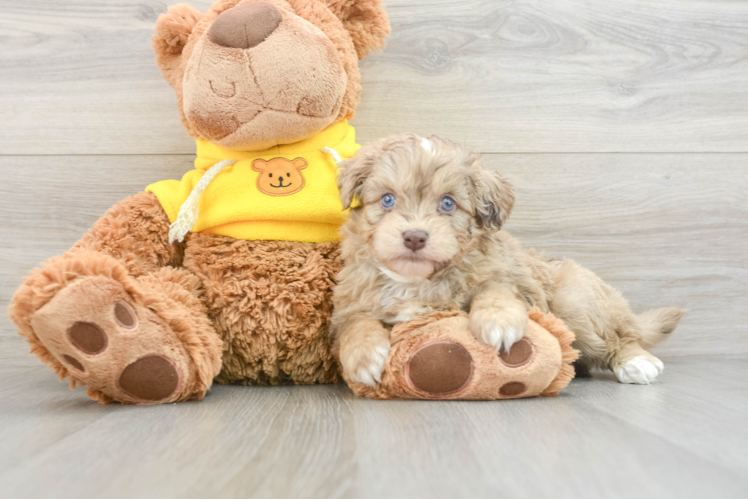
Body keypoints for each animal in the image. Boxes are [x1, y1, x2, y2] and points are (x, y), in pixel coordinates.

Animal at [332, 135, 684, 388]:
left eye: (448, 204)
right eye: (387, 199)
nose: (415, 237)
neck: (414, 280)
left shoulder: (507, 277)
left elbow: (496, 291)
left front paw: (498, 323)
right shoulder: (351, 303)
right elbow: (356, 324)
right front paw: (363, 357)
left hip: (576, 302)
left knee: (618, 338)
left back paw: (636, 362)